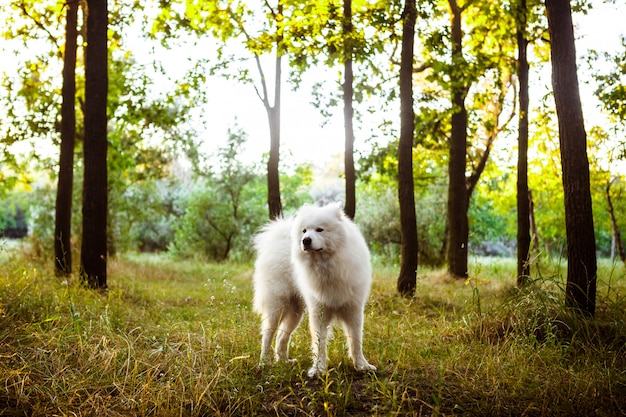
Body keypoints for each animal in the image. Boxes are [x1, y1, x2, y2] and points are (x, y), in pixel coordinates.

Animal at [250, 203, 376, 376]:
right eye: (304, 231)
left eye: (320, 230)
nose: (305, 240)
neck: (327, 266)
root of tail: (278, 236)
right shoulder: (319, 312)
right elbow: (319, 343)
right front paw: (318, 369)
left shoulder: (354, 310)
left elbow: (356, 341)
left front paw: (362, 365)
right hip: (277, 307)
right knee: (268, 336)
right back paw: (264, 363)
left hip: (295, 313)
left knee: (281, 337)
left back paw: (284, 361)